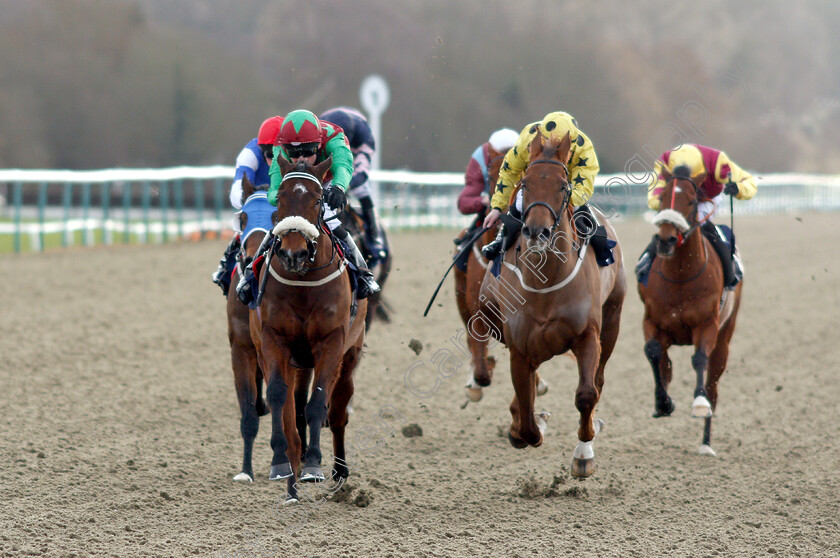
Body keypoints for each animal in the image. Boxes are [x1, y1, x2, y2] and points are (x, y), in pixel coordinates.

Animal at [476, 129, 628, 480]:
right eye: (526, 183)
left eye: (562, 185)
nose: (536, 231)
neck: (545, 281)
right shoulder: (520, 348)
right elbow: (526, 412)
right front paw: (529, 426)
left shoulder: (588, 335)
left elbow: (587, 394)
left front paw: (584, 454)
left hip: (612, 322)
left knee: (599, 380)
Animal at [636, 164, 740, 458]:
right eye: (662, 197)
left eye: (692, 201)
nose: (666, 239)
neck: (681, 275)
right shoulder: (652, 320)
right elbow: (653, 352)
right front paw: (663, 403)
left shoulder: (707, 324)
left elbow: (699, 359)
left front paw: (699, 403)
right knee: (664, 361)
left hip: (725, 337)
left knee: (713, 385)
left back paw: (706, 442)